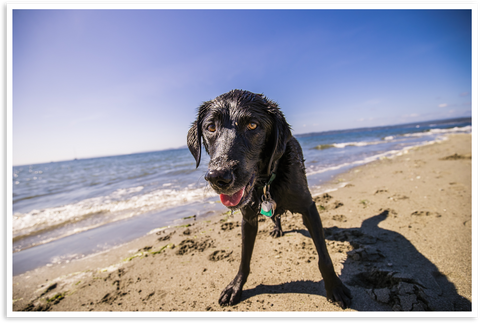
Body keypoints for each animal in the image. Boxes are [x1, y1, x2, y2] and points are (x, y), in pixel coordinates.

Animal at [188, 88, 352, 308]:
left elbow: (324, 256)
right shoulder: (248, 220)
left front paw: (335, 287)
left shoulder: (309, 208)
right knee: (276, 215)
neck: (265, 182)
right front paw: (235, 287)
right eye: (211, 127)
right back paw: (277, 228)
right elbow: (244, 259)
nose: (218, 176)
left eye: (252, 125)